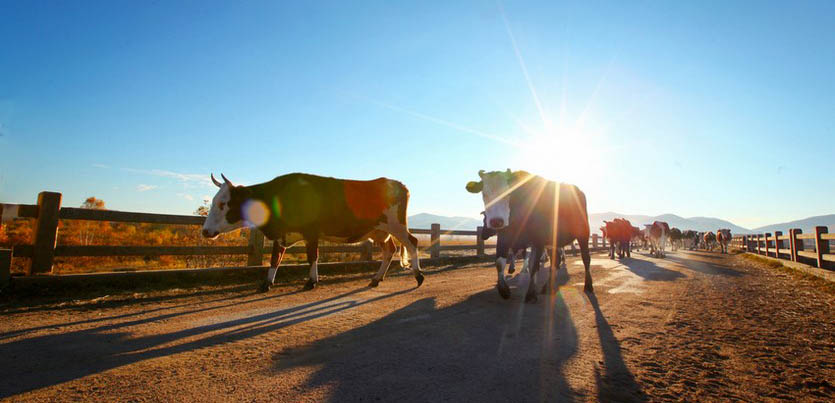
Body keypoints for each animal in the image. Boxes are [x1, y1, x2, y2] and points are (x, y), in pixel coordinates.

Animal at [202, 173, 424, 290]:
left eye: (223, 203)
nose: (205, 231)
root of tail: (397, 184)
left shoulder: (311, 232)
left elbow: (312, 256)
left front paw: (311, 281)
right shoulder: (282, 235)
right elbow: (275, 259)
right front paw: (266, 282)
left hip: (396, 225)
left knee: (412, 242)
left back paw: (418, 275)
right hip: (379, 231)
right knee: (389, 250)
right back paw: (376, 278)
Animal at [464, 168, 596, 304]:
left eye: (510, 192)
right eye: (484, 194)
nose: (496, 221)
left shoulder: (538, 240)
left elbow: (533, 265)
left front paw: (531, 293)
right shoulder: (505, 237)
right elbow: (499, 262)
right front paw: (504, 290)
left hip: (583, 234)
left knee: (586, 258)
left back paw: (588, 285)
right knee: (556, 261)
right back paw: (546, 287)